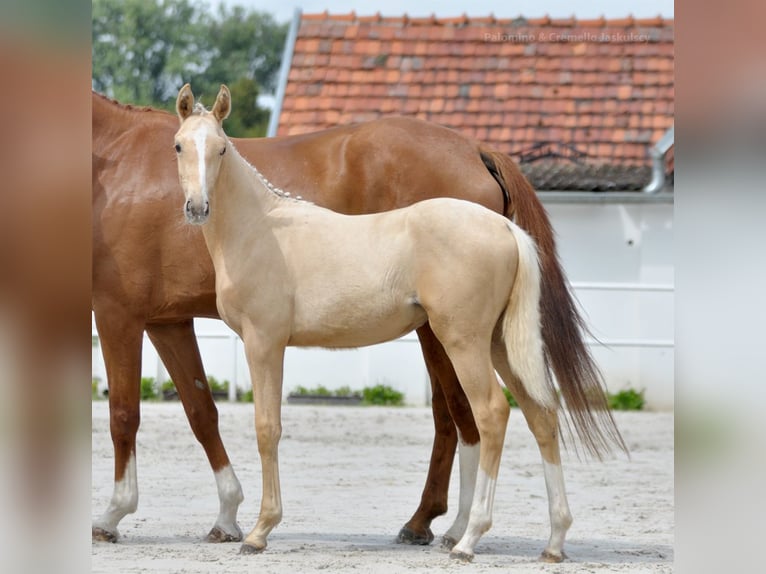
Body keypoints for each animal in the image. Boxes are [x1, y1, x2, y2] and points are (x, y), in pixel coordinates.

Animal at [92, 88, 625, 560]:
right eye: (179, 145)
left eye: (221, 148)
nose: (197, 208)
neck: (265, 227)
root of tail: (506, 229)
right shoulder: (171, 322)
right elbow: (203, 412)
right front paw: (230, 521)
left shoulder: (254, 340)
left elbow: (260, 426)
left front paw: (256, 531)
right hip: (497, 343)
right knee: (541, 413)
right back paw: (552, 541)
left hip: (461, 340)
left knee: (487, 414)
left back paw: (466, 538)